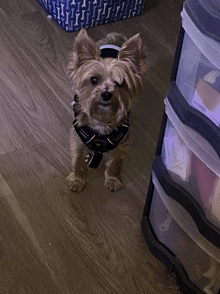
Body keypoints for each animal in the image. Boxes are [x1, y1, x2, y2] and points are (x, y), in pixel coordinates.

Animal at [67, 28, 146, 192]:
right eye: (94, 80)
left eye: (121, 83)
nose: (106, 94)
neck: (102, 119)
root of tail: (113, 37)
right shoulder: (78, 139)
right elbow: (78, 159)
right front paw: (77, 179)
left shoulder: (122, 143)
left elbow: (116, 162)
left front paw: (113, 179)